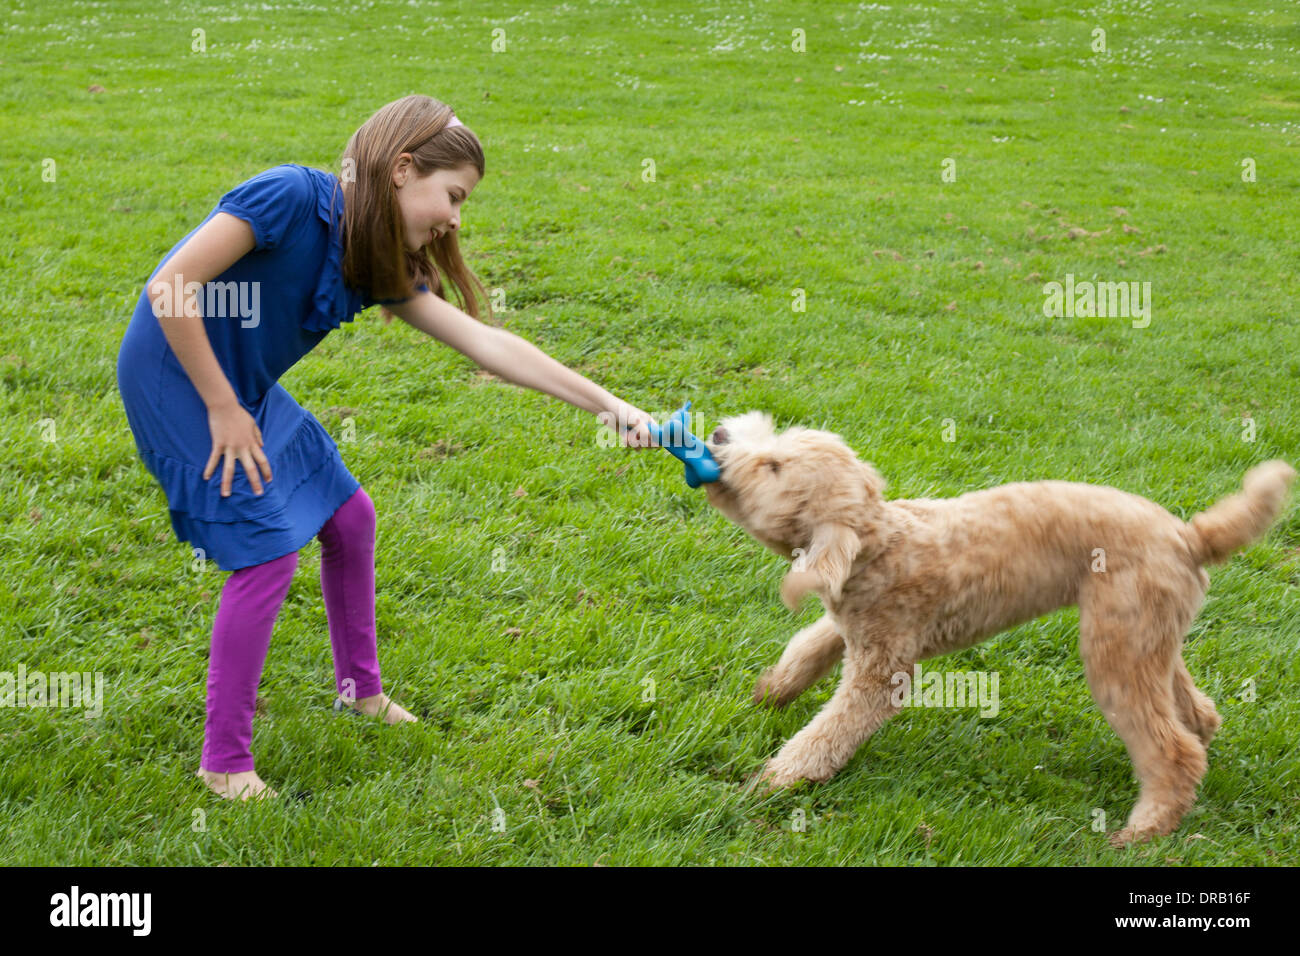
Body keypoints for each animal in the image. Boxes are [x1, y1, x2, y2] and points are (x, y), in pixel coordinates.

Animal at [707, 416, 1294, 848]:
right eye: (775, 445)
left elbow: (829, 731)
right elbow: (807, 648)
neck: (881, 543)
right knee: (1197, 714)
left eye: (773, 465)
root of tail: (1190, 537)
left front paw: (777, 779)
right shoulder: (852, 625)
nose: (716, 436)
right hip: (1148, 637)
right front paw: (771, 693)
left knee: (1172, 749)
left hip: (1115, 648)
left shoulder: (882, 668)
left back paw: (1144, 830)